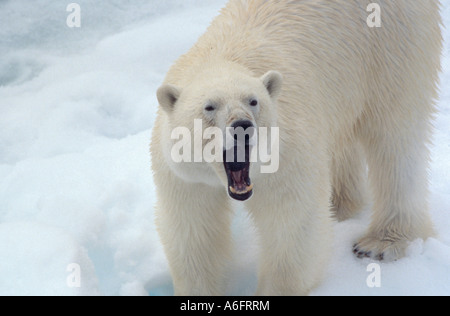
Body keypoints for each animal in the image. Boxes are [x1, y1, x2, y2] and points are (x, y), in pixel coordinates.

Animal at [152, 0, 442, 296]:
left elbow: (292, 227)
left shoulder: (288, 152)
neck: (223, 57)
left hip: (391, 48)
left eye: (253, 101)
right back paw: (339, 205)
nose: (242, 126)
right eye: (209, 107)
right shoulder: (183, 177)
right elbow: (194, 232)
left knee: (395, 137)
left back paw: (382, 242)